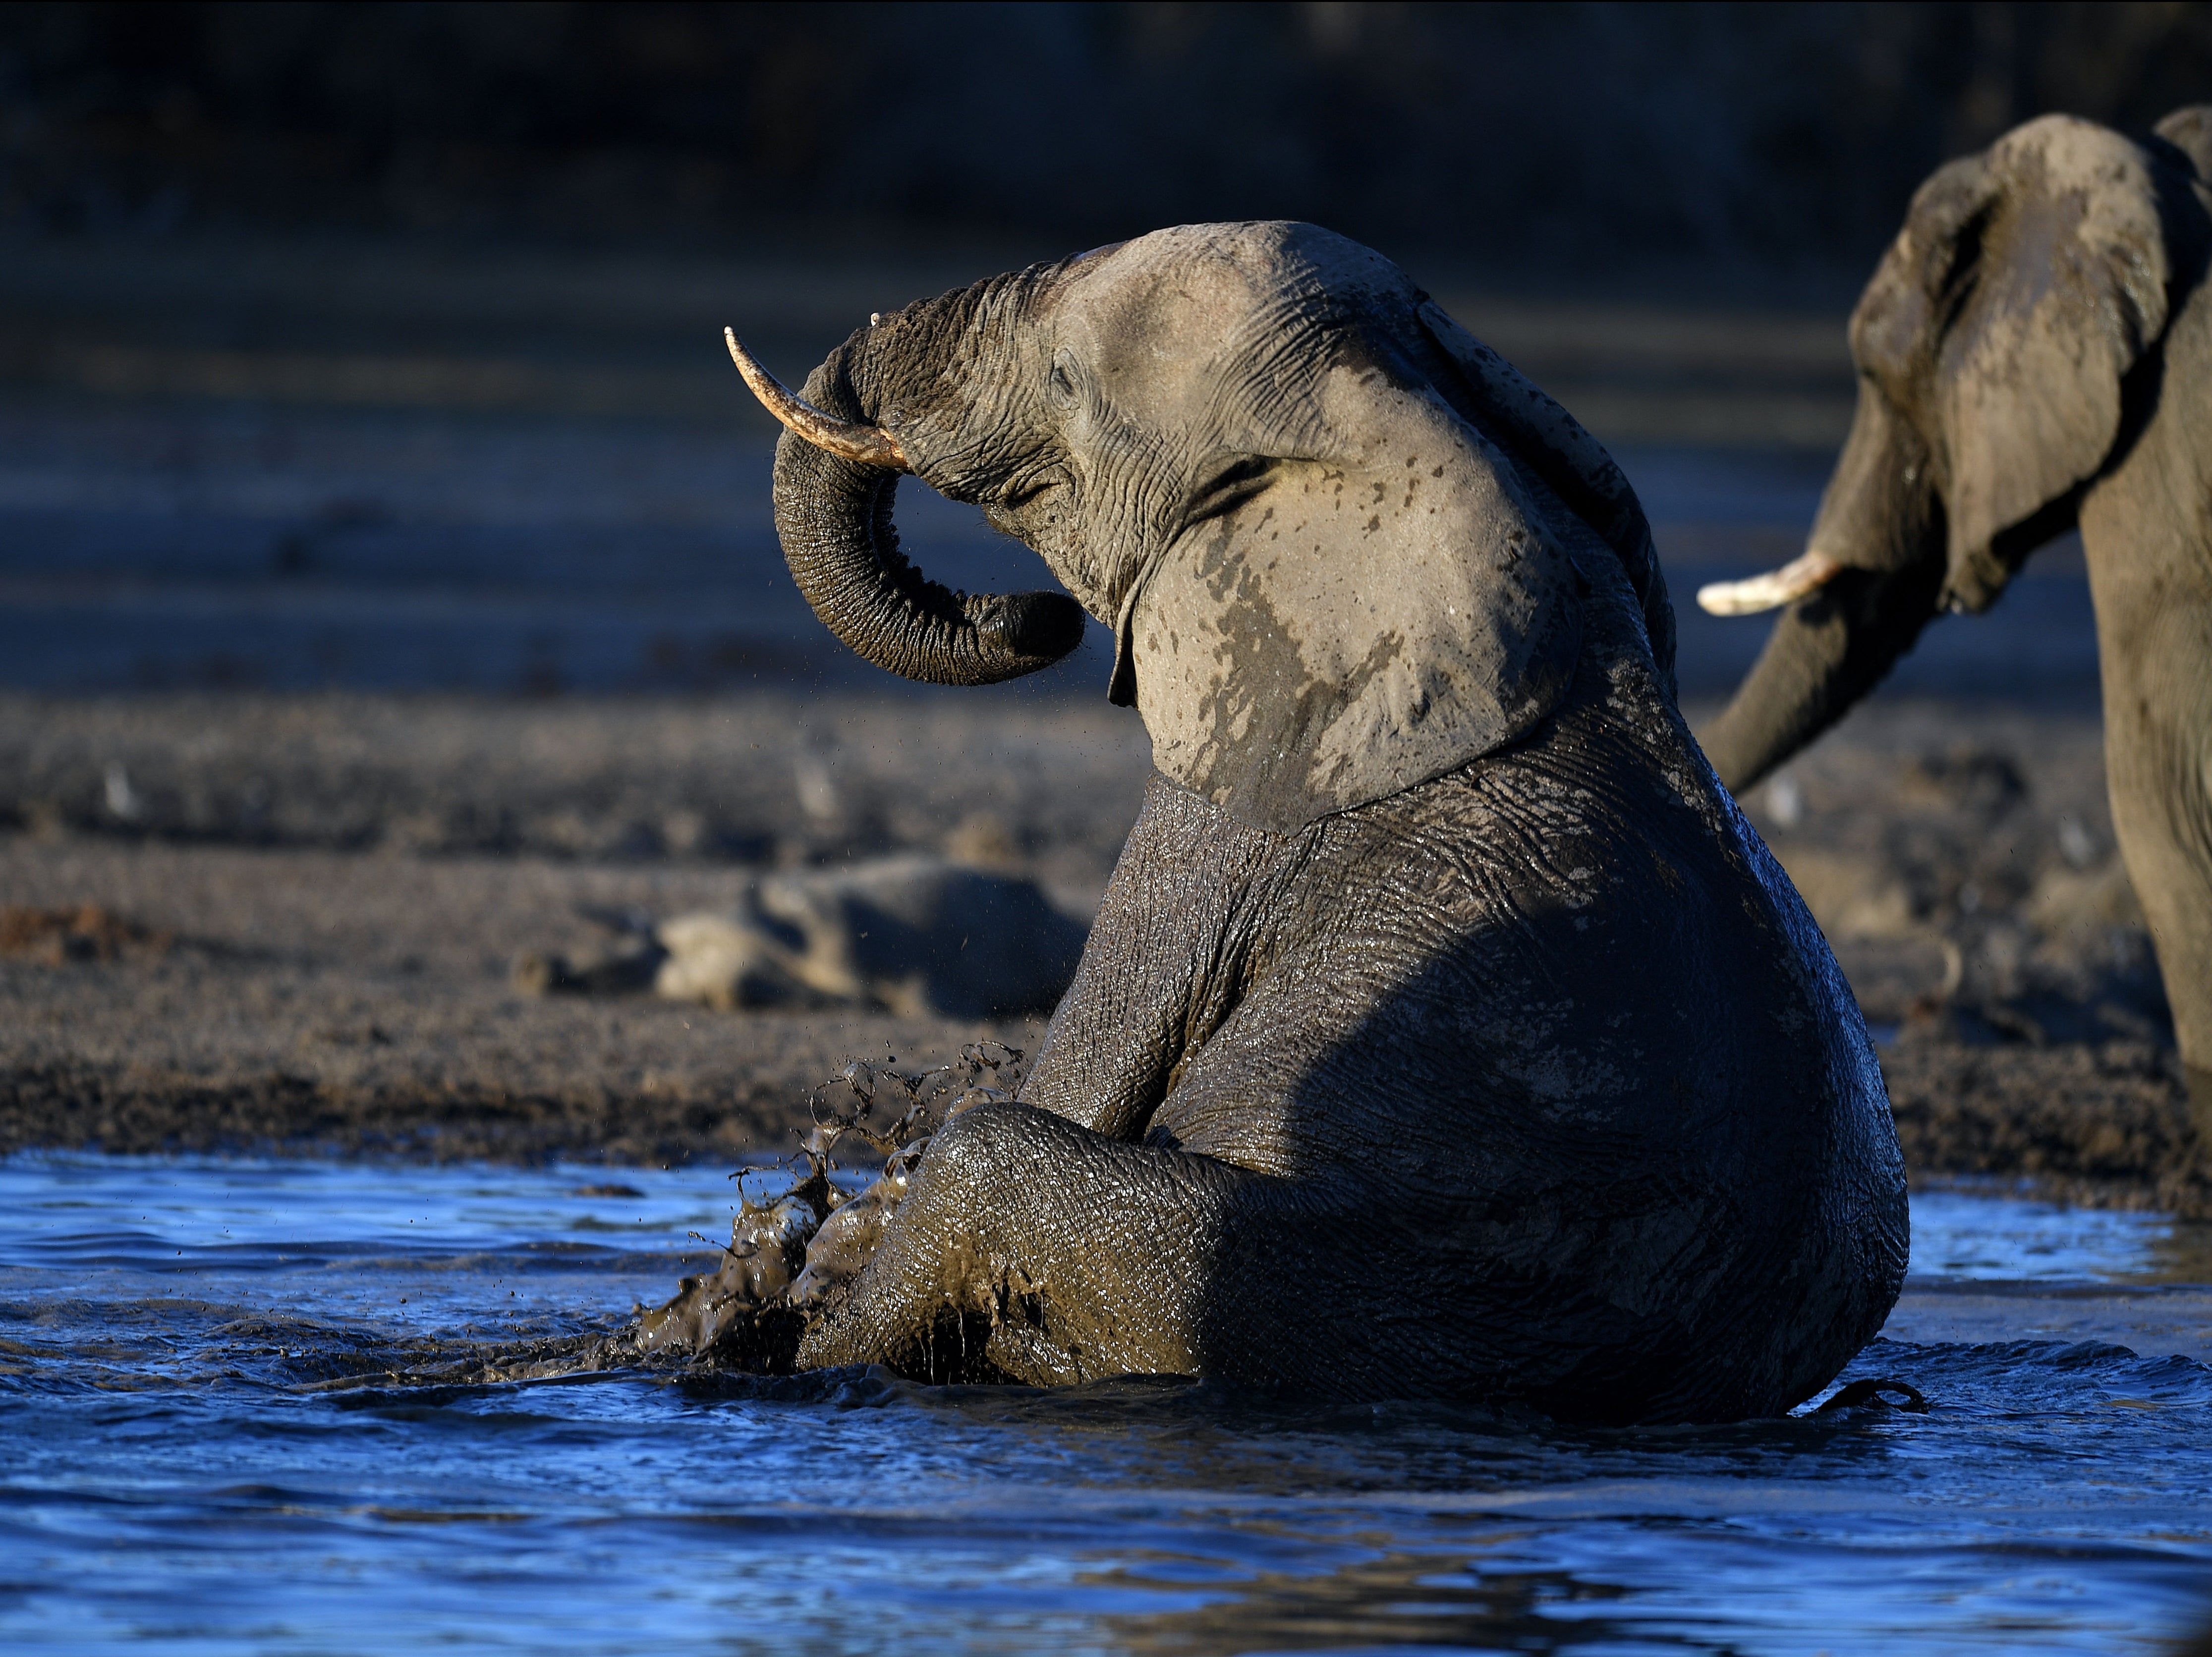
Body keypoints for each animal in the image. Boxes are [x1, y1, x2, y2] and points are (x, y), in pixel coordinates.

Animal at [721, 217, 1902, 1425]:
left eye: (1063, 376)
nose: (1033, 618)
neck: (1413, 430)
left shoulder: (1237, 799)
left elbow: (1084, 1075)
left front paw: (793, 1291)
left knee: (991, 1160)